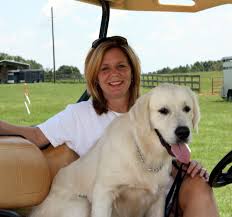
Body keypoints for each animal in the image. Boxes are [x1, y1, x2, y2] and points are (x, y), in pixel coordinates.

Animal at [29, 84, 199, 217]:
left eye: (187, 109)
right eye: (163, 110)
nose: (183, 132)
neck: (144, 154)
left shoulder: (159, 199)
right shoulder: (103, 193)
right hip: (81, 203)